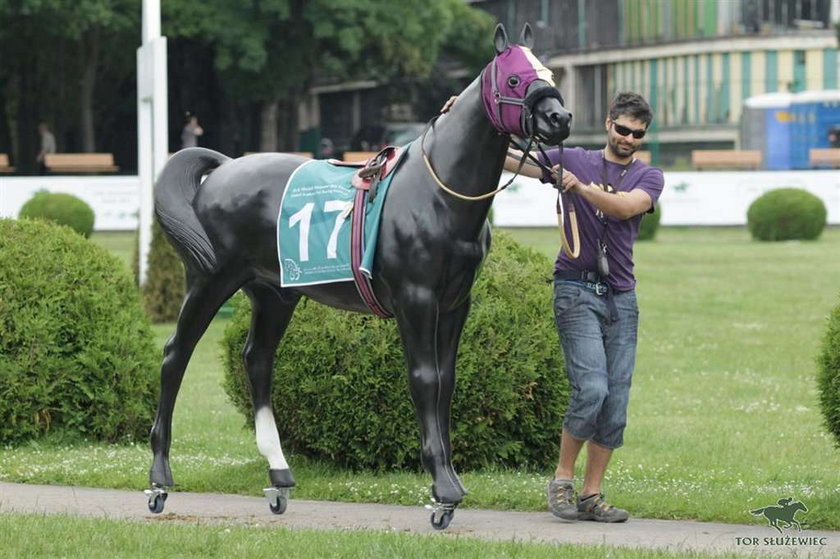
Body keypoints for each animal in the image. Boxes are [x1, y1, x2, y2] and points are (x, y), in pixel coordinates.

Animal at [148, 21, 576, 528]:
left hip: (275, 293)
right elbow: (425, 378)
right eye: (513, 78)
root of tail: (225, 168)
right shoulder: (416, 299)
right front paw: (442, 490)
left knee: (257, 360)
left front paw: (450, 476)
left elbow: (447, 381)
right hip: (210, 280)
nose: (560, 118)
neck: (436, 194)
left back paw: (279, 475)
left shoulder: (456, 302)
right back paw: (160, 477)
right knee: (176, 355)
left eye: (547, 72)